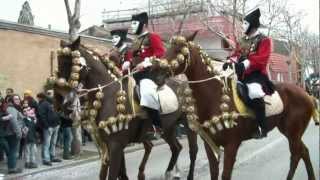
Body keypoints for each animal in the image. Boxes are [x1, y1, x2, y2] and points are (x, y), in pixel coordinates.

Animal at [55, 37, 199, 180]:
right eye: (58, 63)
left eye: (70, 63)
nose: (65, 105)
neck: (108, 95)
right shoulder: (106, 146)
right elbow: (108, 174)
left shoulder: (116, 145)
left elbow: (113, 174)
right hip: (168, 129)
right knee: (176, 148)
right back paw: (169, 173)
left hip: (189, 124)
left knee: (192, 151)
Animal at [161, 32, 318, 180]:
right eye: (168, 47)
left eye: (179, 50)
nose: (157, 69)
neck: (215, 95)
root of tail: (306, 94)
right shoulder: (210, 145)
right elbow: (214, 173)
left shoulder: (231, 145)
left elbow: (225, 175)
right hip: (289, 131)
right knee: (303, 152)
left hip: (293, 132)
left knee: (297, 154)